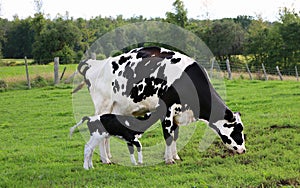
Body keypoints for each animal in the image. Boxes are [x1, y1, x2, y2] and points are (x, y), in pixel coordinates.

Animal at [77, 46, 246, 164]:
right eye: (238, 130)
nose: (243, 150)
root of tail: (96, 64)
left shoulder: (177, 113)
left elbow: (175, 135)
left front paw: (176, 156)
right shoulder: (167, 110)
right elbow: (168, 136)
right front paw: (169, 160)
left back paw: (108, 156)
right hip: (103, 106)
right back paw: (105, 159)